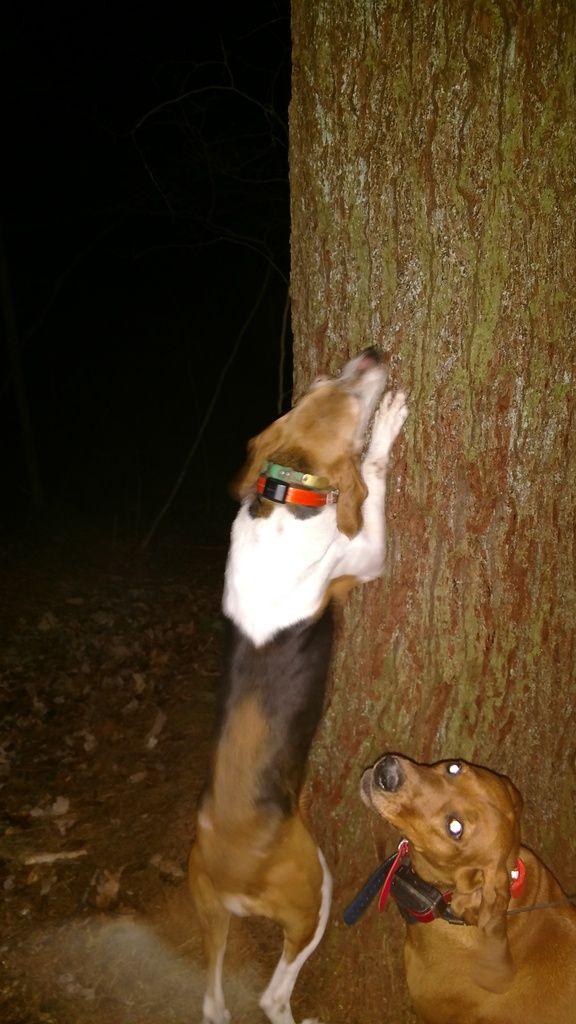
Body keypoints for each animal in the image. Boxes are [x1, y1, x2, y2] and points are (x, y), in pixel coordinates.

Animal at [189, 349, 408, 1024]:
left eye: (320, 380)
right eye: (351, 401)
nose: (373, 355)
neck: (288, 491)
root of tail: (230, 877)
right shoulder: (364, 555)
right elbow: (373, 475)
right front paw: (387, 430)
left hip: (207, 906)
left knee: (213, 1001)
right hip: (316, 893)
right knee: (272, 993)